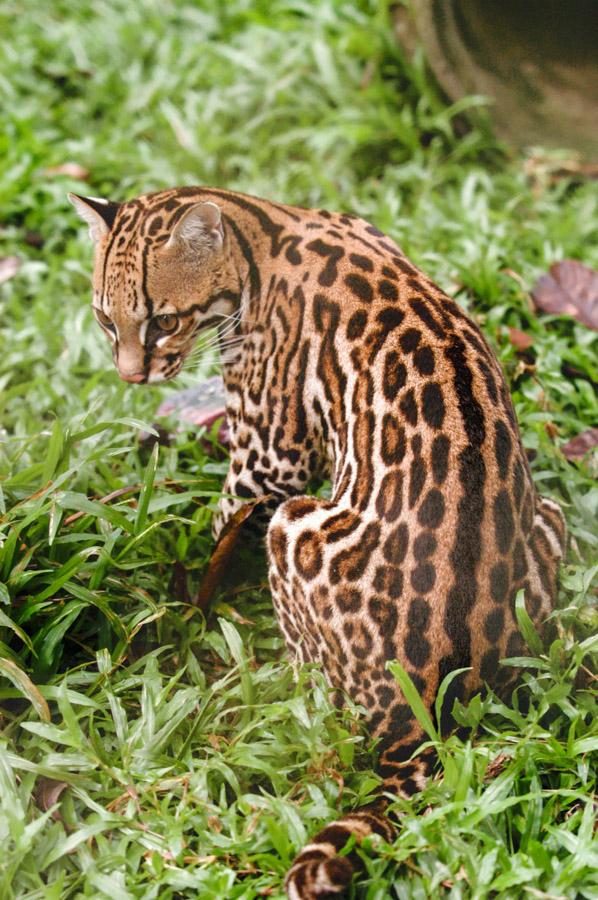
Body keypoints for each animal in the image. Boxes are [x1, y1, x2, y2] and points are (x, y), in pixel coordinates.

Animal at [70, 186, 568, 896]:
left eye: (163, 321)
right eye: (106, 322)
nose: (132, 378)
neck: (259, 229)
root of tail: (431, 708)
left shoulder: (270, 457)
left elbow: (218, 534)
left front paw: (182, 601)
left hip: (296, 527)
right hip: (548, 519)